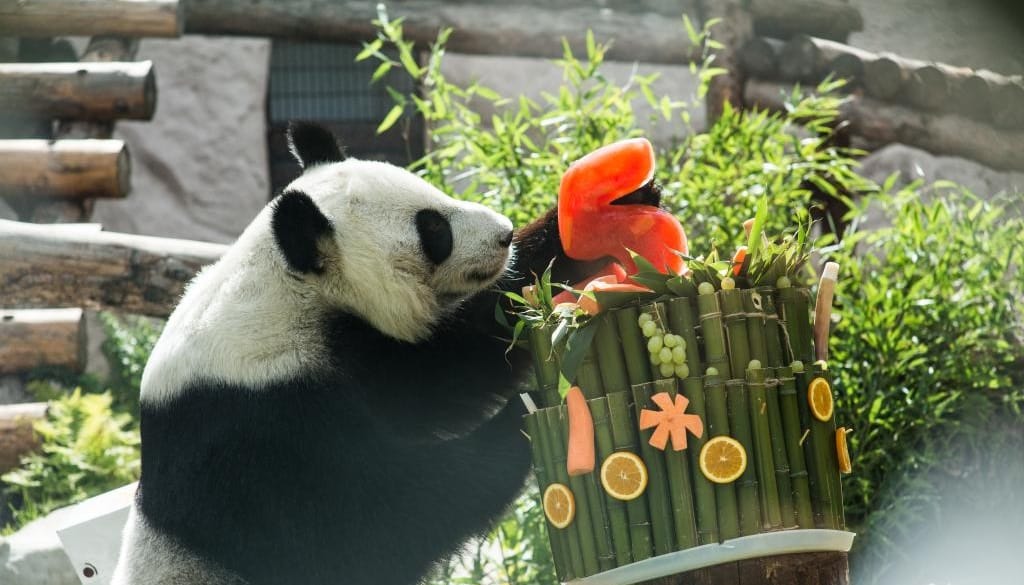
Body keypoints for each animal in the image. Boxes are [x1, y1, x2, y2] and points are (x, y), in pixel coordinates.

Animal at [111, 122, 663, 585]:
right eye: (433, 228)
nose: (504, 233)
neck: (287, 285)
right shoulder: (261, 426)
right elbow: (373, 522)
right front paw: (522, 419)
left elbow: (452, 367)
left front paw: (609, 208)